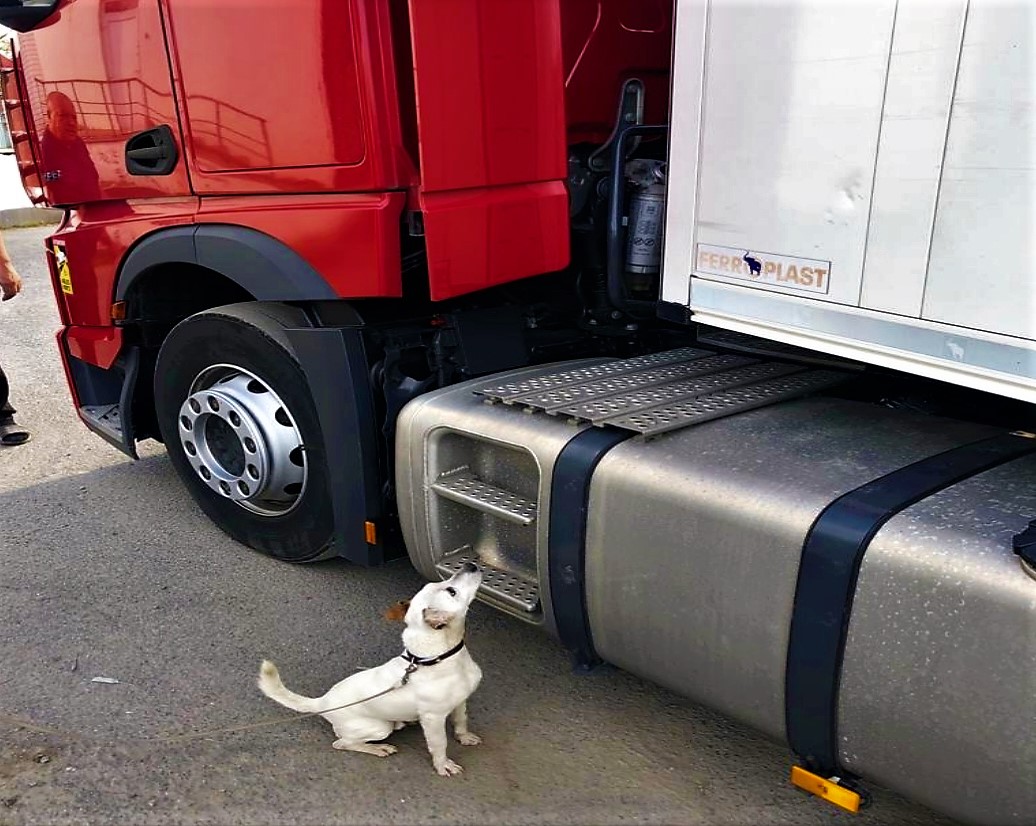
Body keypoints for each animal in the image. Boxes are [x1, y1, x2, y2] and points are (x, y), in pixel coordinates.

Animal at [259, 559, 484, 775]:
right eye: (451, 591)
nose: (470, 564)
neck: (435, 657)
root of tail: (322, 703)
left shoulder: (460, 701)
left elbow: (461, 721)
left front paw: (464, 737)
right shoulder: (433, 719)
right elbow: (439, 744)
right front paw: (442, 765)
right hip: (379, 727)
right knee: (342, 743)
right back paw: (378, 748)